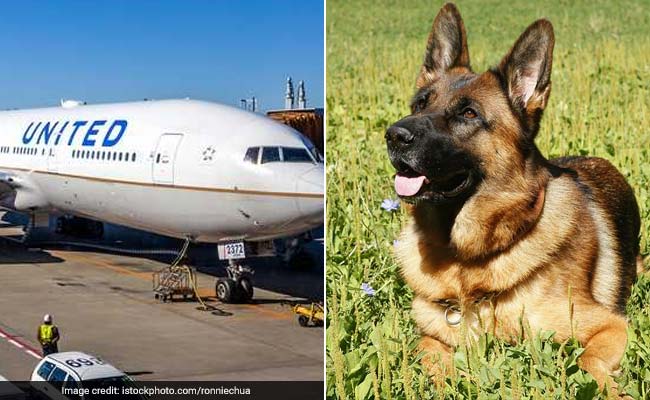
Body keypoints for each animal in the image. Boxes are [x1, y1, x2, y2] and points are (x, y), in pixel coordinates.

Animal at [384, 1, 636, 392]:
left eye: (468, 113)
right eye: (420, 104)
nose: (394, 135)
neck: (467, 261)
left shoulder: (610, 325)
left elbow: (588, 360)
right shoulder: (431, 335)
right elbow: (430, 359)